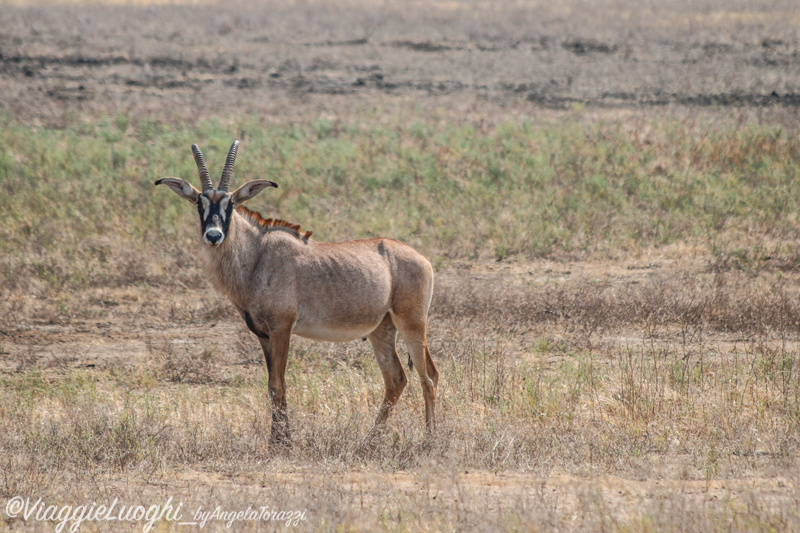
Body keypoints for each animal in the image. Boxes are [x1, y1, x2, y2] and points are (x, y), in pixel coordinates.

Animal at [155, 139, 444, 442]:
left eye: (230, 203)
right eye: (199, 203)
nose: (213, 235)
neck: (258, 255)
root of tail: (423, 259)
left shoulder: (282, 328)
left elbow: (277, 384)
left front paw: (282, 442)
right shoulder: (263, 335)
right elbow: (271, 386)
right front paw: (277, 438)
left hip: (412, 323)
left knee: (428, 377)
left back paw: (428, 439)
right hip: (382, 329)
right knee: (397, 378)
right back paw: (369, 440)